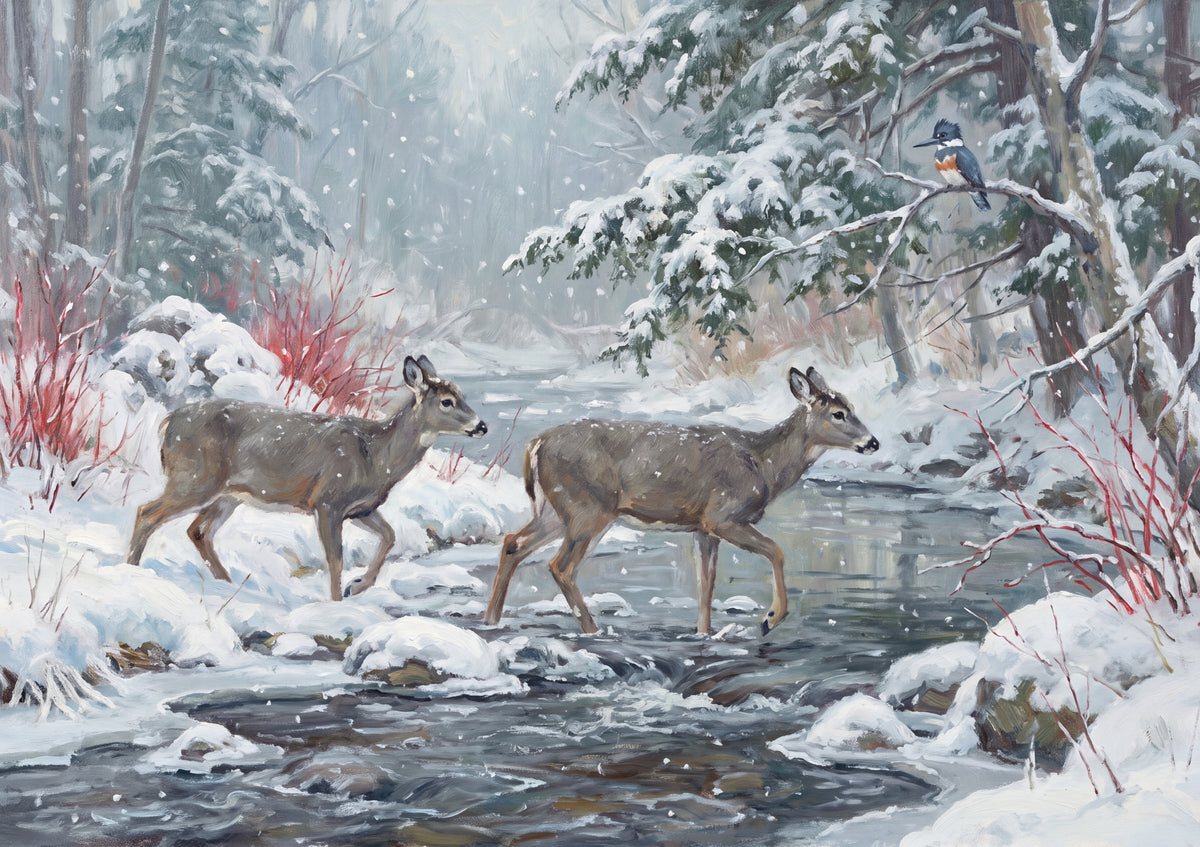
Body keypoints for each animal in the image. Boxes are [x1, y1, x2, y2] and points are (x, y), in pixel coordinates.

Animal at [126, 355, 486, 601]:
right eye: (447, 401)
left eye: (462, 395)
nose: (481, 425)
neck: (377, 456)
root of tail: (167, 423)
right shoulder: (327, 500)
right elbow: (335, 559)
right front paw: (337, 602)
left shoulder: (362, 508)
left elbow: (390, 536)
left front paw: (357, 586)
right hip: (195, 478)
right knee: (147, 512)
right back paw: (132, 572)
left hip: (227, 494)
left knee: (197, 530)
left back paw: (229, 585)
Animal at [483, 366, 878, 636]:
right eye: (838, 413)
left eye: (852, 406)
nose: (873, 442)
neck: (764, 465)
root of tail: (535, 445)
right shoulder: (724, 515)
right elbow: (776, 551)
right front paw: (770, 618)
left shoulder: (703, 528)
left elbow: (706, 585)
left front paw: (703, 632)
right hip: (588, 508)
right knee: (560, 566)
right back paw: (593, 630)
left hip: (556, 510)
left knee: (513, 543)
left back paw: (491, 620)